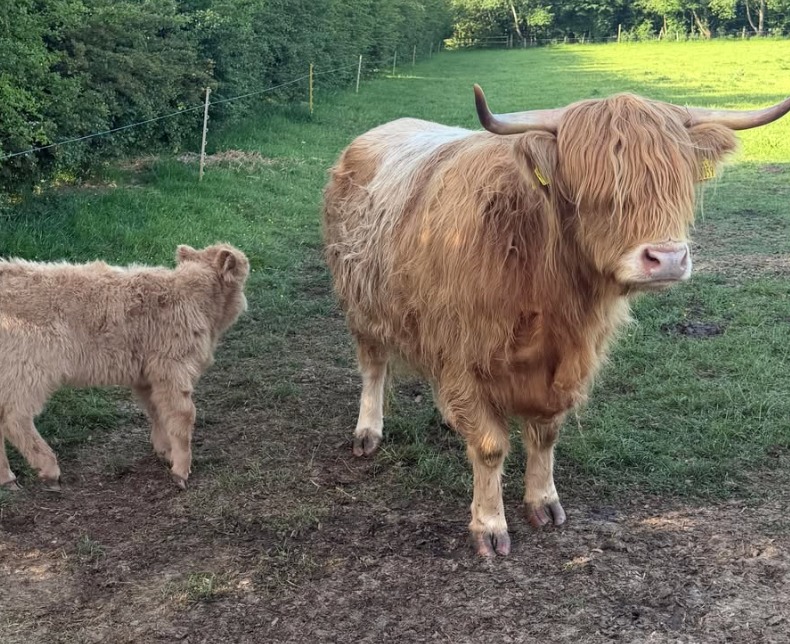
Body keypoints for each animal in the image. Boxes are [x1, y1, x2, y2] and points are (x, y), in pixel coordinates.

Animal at [0, 243, 249, 491]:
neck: (193, 298)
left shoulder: (147, 376)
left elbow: (156, 410)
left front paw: (165, 451)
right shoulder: (171, 368)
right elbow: (182, 415)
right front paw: (181, 470)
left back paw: (7, 478)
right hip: (29, 368)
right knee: (14, 418)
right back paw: (48, 469)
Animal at [322, 84, 790, 556]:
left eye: (678, 182)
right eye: (594, 189)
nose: (668, 259)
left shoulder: (568, 362)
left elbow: (544, 435)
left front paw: (543, 502)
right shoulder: (461, 354)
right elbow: (489, 446)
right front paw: (489, 525)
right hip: (361, 303)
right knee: (373, 367)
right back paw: (368, 430)